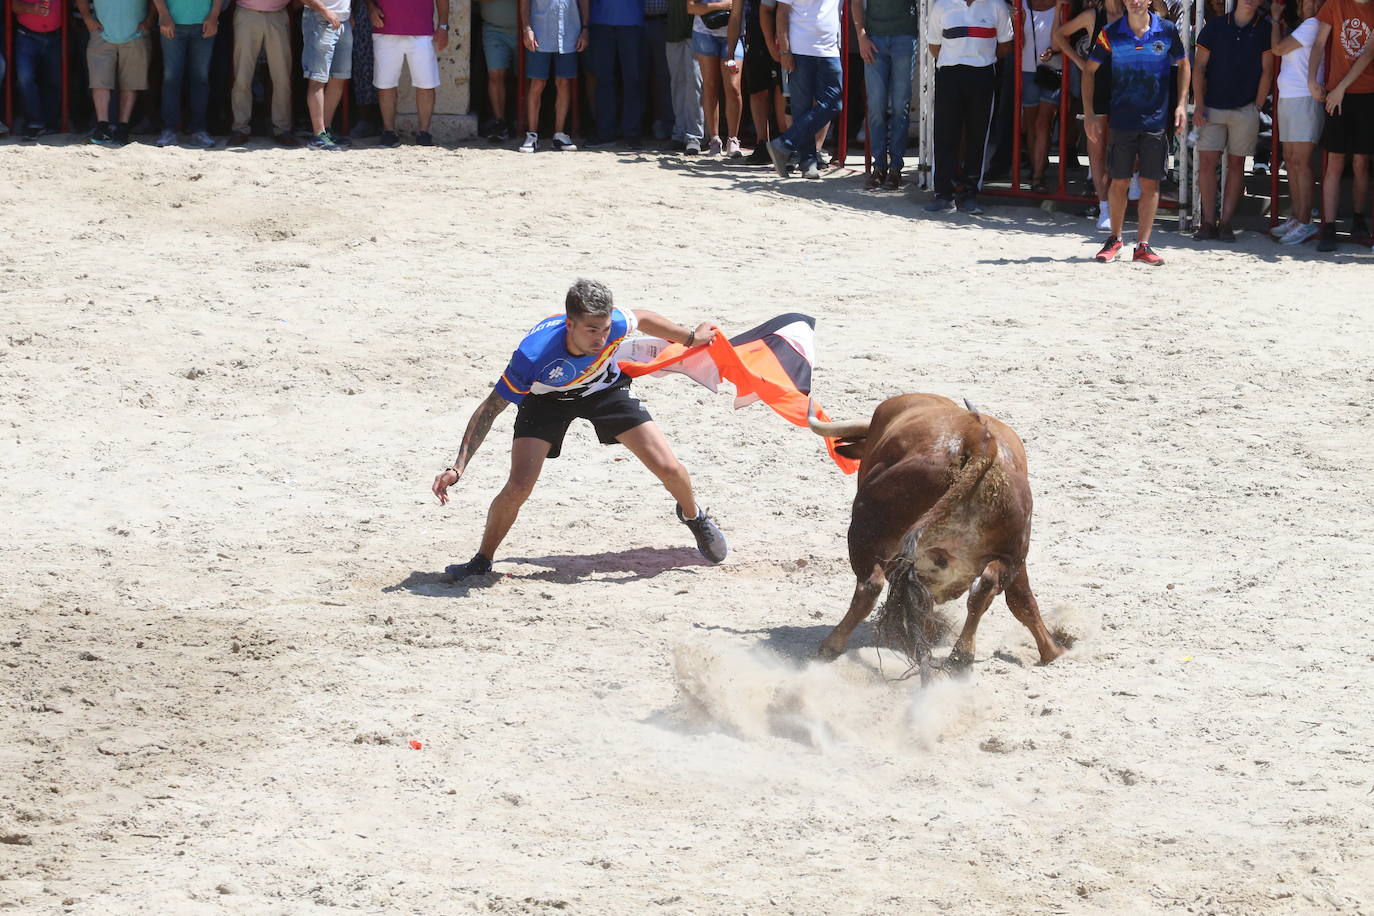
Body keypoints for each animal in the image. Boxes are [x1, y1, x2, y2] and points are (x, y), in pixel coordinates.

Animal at [807, 395, 1066, 681]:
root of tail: (977, 440)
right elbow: (1021, 600)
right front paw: (1053, 651)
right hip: (1012, 551)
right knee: (988, 588)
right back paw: (962, 654)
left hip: (866, 529)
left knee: (870, 586)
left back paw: (832, 644)